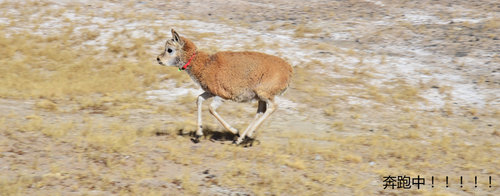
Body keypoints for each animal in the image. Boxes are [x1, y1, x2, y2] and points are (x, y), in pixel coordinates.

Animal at [156, 29, 292, 145]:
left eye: (169, 49)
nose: (158, 59)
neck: (206, 64)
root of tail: (289, 69)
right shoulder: (210, 92)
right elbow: (199, 99)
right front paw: (198, 135)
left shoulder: (222, 95)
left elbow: (211, 109)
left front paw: (234, 131)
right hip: (260, 98)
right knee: (261, 111)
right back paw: (241, 139)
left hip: (264, 94)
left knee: (273, 107)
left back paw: (245, 135)